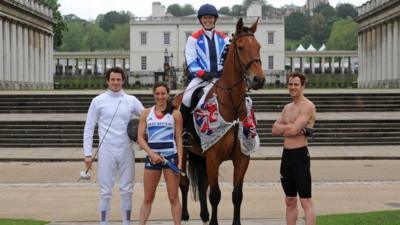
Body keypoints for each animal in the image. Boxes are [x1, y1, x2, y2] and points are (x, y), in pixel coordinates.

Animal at [173, 18, 264, 225]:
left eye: (258, 46)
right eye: (240, 47)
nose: (259, 79)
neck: (232, 109)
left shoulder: (242, 158)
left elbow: (237, 194)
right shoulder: (213, 157)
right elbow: (215, 194)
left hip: (201, 155)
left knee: (202, 183)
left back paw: (204, 215)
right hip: (185, 151)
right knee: (184, 182)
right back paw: (185, 215)